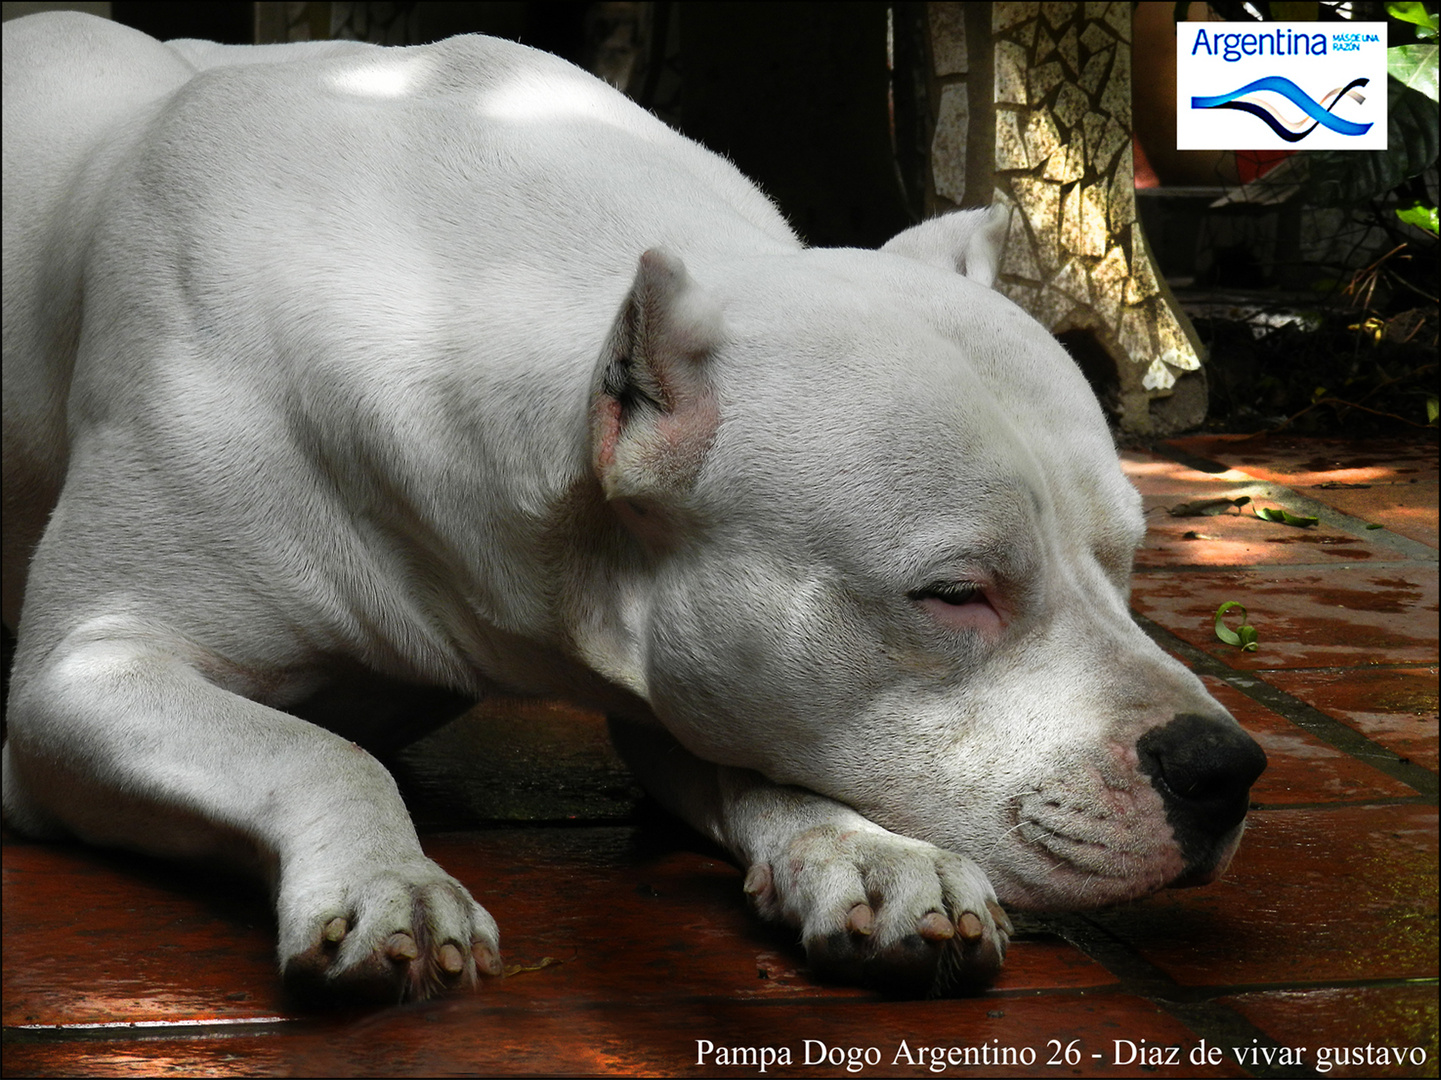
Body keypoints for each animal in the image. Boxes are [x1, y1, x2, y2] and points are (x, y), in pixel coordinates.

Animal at [2, 10, 1262, 1003]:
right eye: (953, 594)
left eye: (1129, 561)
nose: (1224, 767)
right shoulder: (85, 680)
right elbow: (314, 752)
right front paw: (389, 877)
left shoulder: (691, 671)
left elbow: (761, 761)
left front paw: (863, 850)